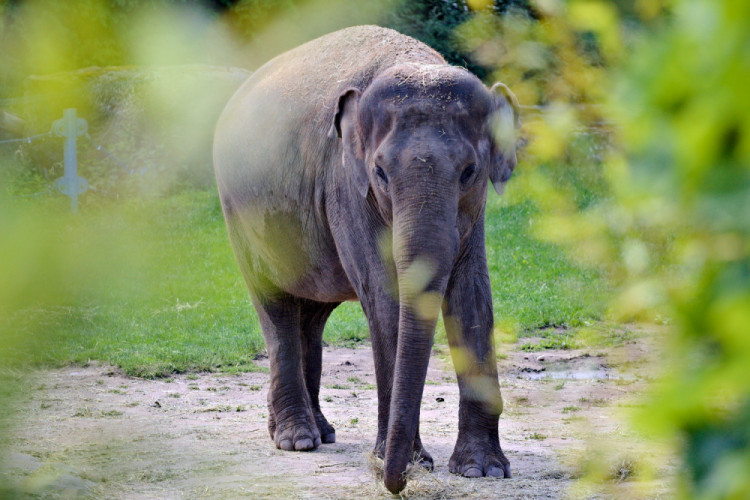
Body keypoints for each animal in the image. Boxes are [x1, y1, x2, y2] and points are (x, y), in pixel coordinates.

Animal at [212, 25, 516, 494]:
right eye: (380, 173)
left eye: (469, 171)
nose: (393, 479)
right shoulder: (347, 186)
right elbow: (385, 301)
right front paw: (409, 461)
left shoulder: (473, 208)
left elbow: (472, 298)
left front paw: (481, 470)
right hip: (237, 216)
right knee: (276, 310)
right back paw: (298, 440)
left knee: (311, 316)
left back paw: (320, 432)